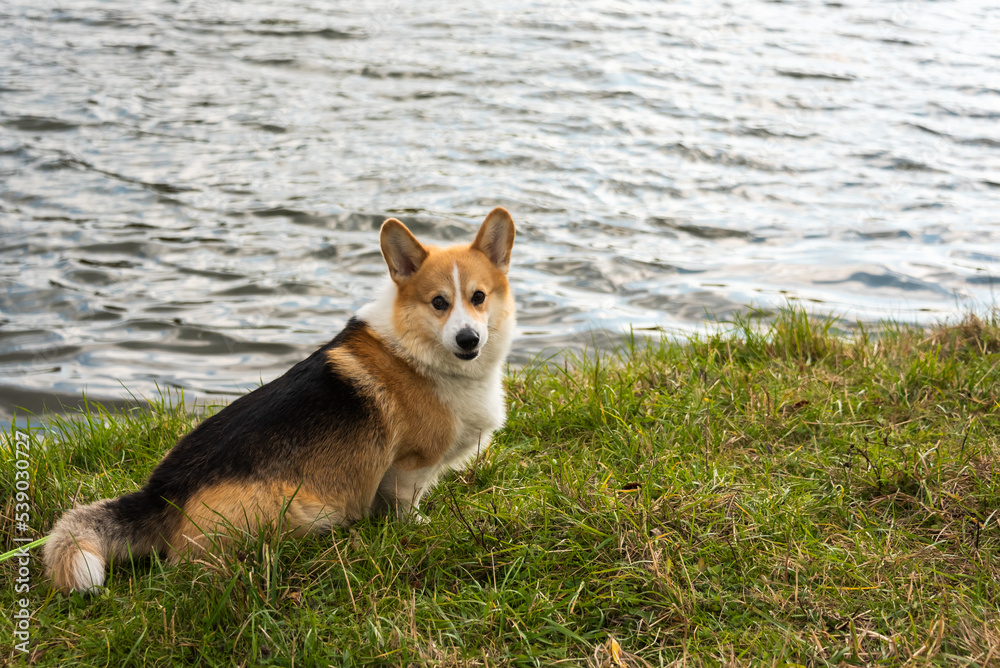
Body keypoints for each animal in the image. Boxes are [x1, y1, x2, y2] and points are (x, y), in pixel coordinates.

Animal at [42, 206, 516, 592]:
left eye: (478, 297)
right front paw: (419, 527)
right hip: (303, 509)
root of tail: (162, 495)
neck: (419, 350)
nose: (468, 339)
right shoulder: (409, 465)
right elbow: (406, 505)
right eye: (438, 302)